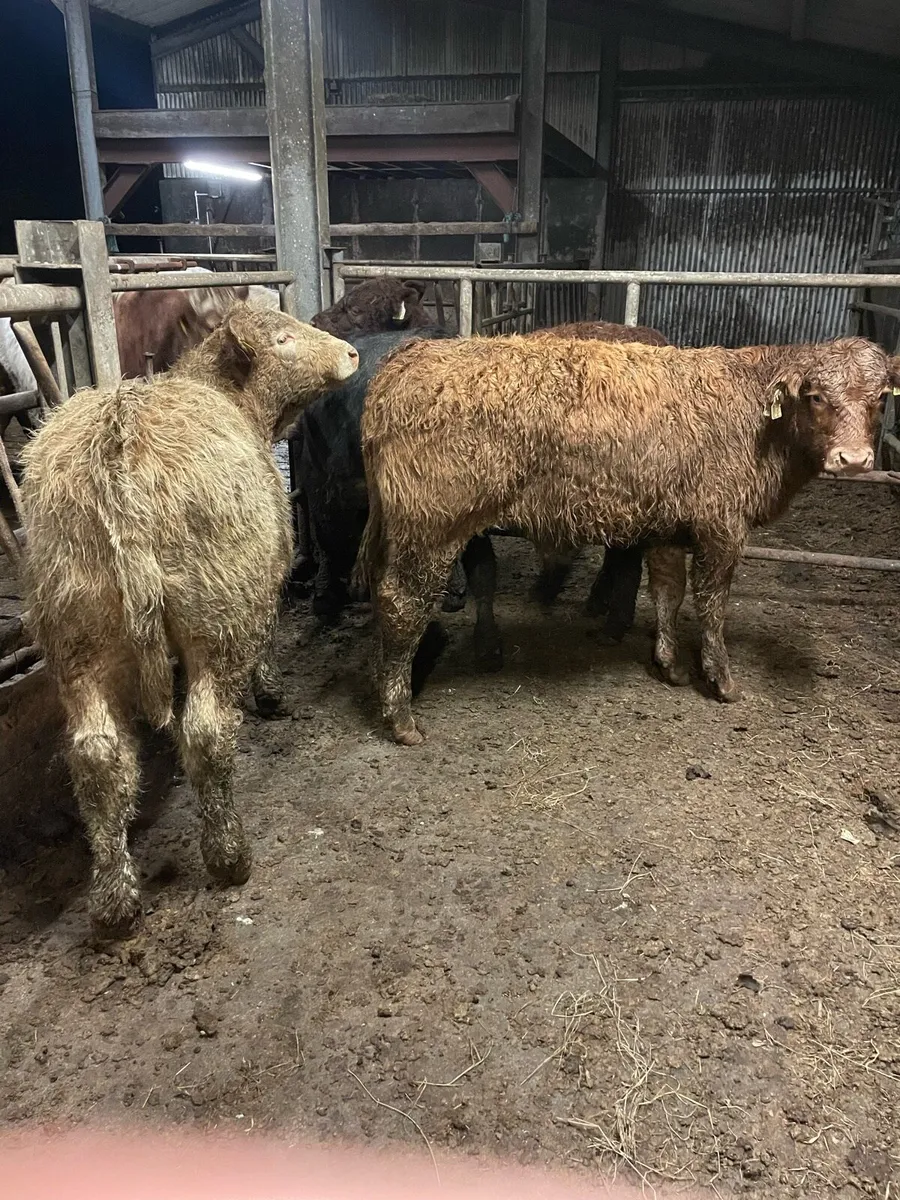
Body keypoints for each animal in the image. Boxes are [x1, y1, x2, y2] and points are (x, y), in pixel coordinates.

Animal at [20, 305, 358, 935]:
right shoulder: (264, 575)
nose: (351, 354)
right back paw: (229, 855)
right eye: (284, 338)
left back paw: (114, 900)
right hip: (217, 613)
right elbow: (268, 637)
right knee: (205, 734)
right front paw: (271, 693)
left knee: (99, 757)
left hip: (76, 632)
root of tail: (119, 438)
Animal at [355, 334, 896, 744]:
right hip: (433, 529)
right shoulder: (722, 527)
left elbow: (668, 593)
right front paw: (720, 678)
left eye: (880, 397)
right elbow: (712, 605)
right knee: (402, 604)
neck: (756, 417)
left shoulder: (670, 525)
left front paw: (670, 665)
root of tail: (408, 357)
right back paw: (400, 717)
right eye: (816, 395)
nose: (854, 459)